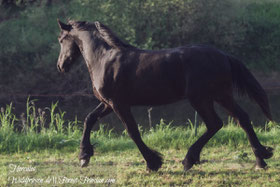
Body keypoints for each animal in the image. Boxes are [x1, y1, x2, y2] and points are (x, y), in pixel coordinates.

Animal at [55, 19, 272, 171]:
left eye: (61, 40)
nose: (60, 66)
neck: (105, 59)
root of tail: (223, 55)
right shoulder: (108, 103)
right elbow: (89, 119)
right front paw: (84, 156)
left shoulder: (119, 104)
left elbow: (132, 131)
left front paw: (153, 163)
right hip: (220, 96)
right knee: (240, 119)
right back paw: (260, 159)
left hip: (201, 99)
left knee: (216, 123)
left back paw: (189, 160)